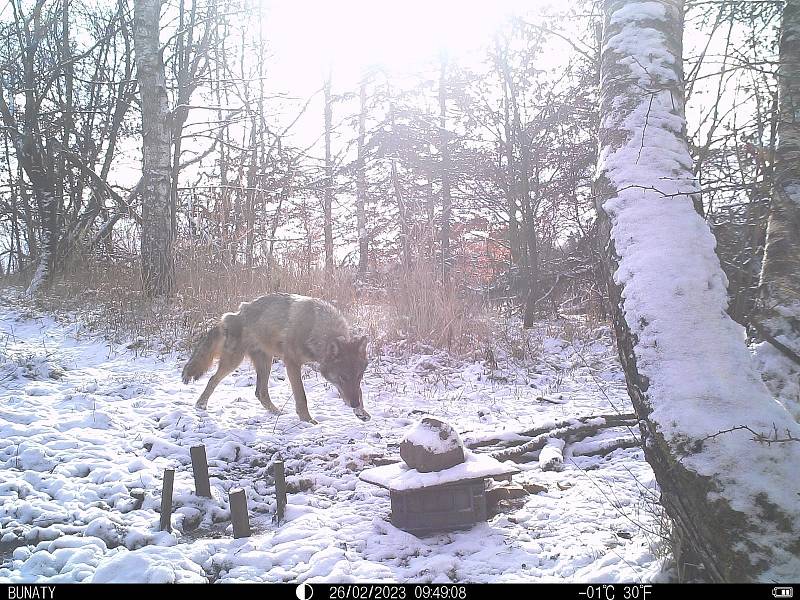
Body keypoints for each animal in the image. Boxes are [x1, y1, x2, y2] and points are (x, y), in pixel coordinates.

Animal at [180, 292, 368, 424]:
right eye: (343, 377)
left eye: (359, 376)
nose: (354, 404)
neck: (316, 329)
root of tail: (233, 314)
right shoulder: (292, 363)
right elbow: (301, 396)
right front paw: (307, 420)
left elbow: (358, 391)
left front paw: (362, 412)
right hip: (234, 361)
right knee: (213, 379)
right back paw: (201, 405)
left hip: (266, 362)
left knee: (260, 392)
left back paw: (277, 412)